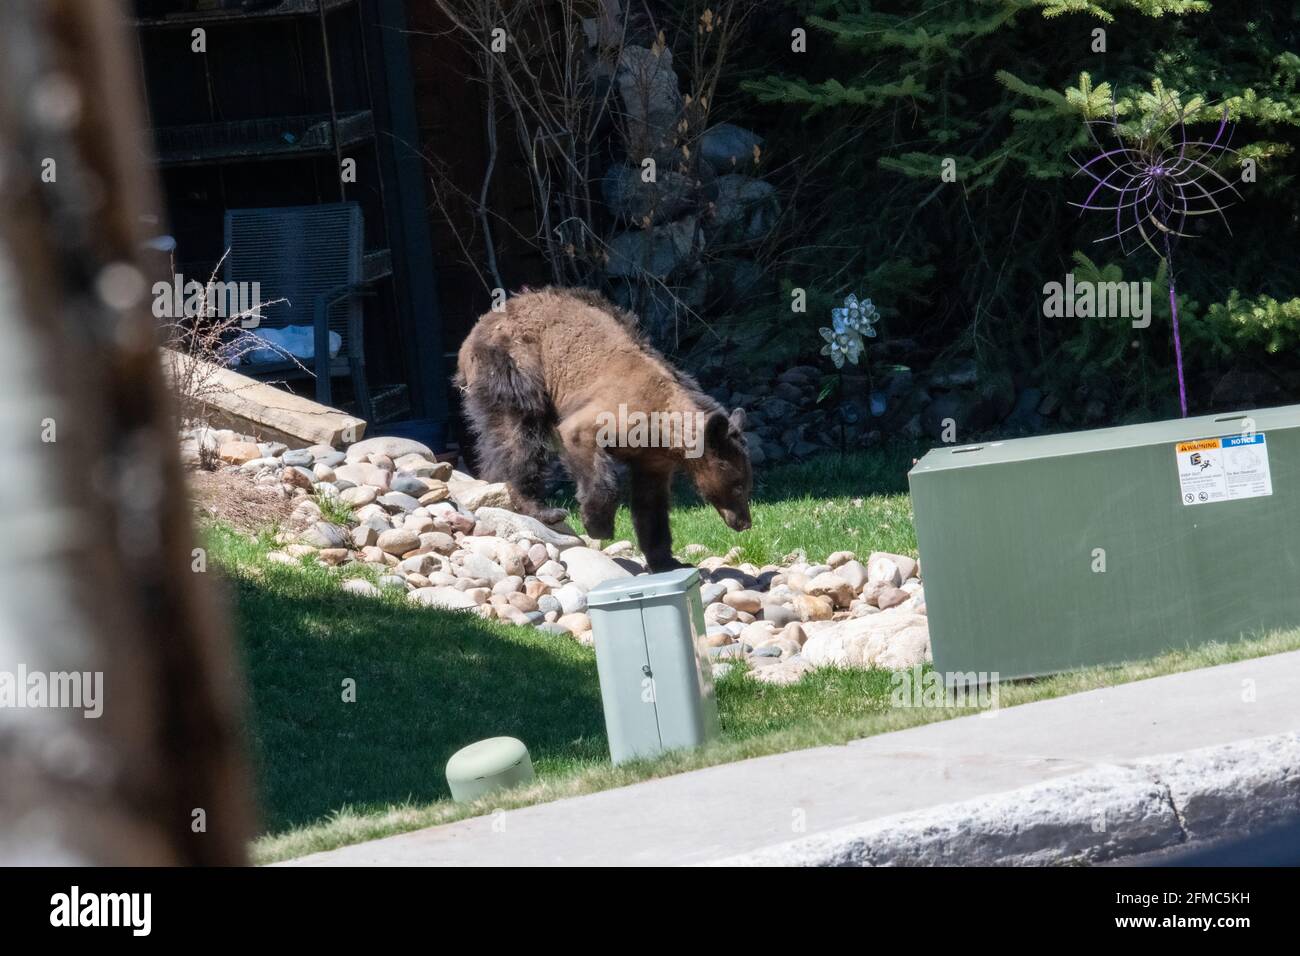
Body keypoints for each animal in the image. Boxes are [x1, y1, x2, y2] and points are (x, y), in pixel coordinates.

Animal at [456, 286, 752, 572]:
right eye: (738, 485)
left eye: (746, 485)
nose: (745, 522)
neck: (664, 423)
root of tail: (478, 326)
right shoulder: (618, 409)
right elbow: (584, 445)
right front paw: (599, 524)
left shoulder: (654, 457)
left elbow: (651, 502)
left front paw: (667, 560)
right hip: (513, 364)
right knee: (519, 435)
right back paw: (541, 508)